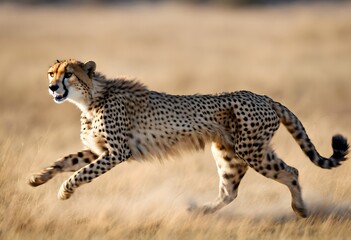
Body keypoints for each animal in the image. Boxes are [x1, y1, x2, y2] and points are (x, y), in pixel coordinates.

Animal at [28, 59, 350, 218]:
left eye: (68, 74)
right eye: (51, 72)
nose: (52, 86)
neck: (91, 97)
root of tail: (263, 97)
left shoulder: (117, 152)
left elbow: (82, 173)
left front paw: (65, 191)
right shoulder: (99, 151)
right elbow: (65, 161)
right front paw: (38, 177)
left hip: (251, 150)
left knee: (291, 171)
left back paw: (301, 209)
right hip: (230, 153)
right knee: (230, 191)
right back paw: (202, 210)